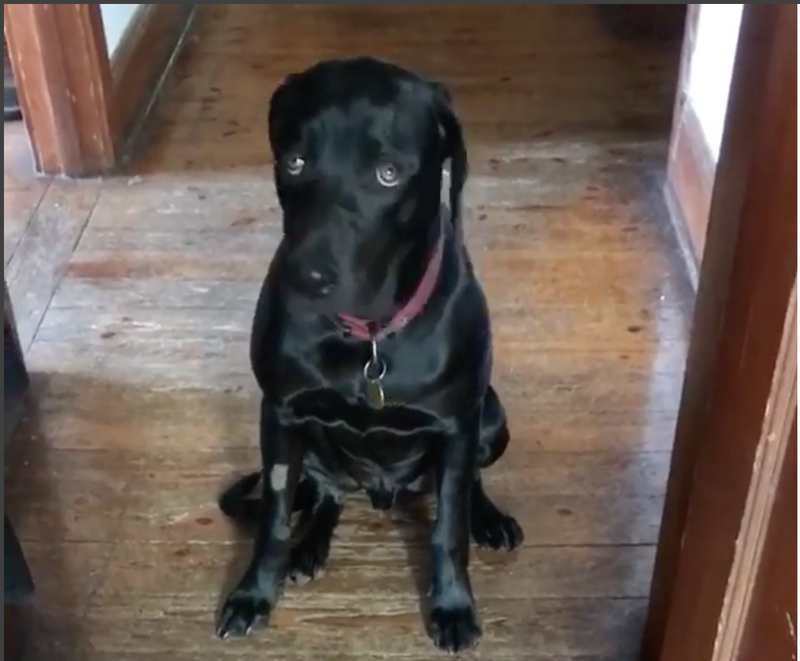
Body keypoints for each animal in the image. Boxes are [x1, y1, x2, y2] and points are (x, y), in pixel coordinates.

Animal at [216, 58, 520, 656]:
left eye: (388, 173)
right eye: (295, 161)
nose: (306, 278)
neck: (369, 339)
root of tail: (384, 490)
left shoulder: (458, 422)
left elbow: (449, 527)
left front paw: (453, 605)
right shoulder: (280, 414)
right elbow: (274, 519)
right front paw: (254, 593)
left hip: (491, 415)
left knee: (469, 482)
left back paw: (489, 519)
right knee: (326, 494)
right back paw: (309, 547)